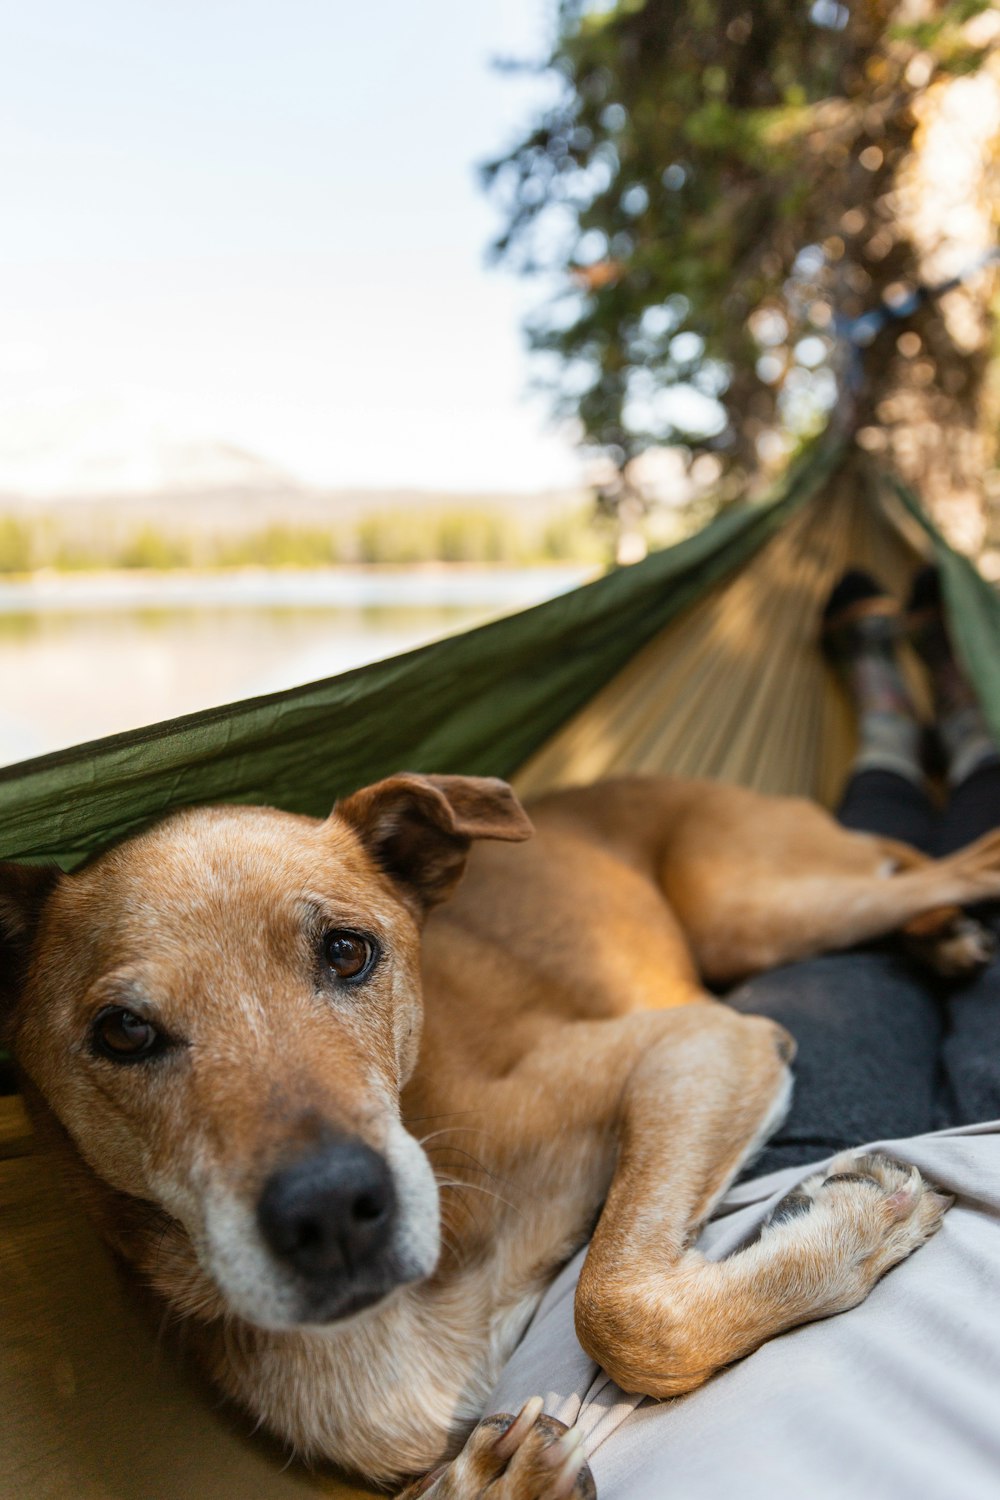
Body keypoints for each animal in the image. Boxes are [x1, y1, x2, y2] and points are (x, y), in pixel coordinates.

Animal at [3, 780, 995, 1494]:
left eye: (348, 952)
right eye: (123, 1032)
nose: (333, 1211)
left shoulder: (697, 1042)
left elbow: (619, 1308)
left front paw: (852, 1225)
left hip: (755, 911)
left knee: (950, 866)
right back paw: (939, 937)